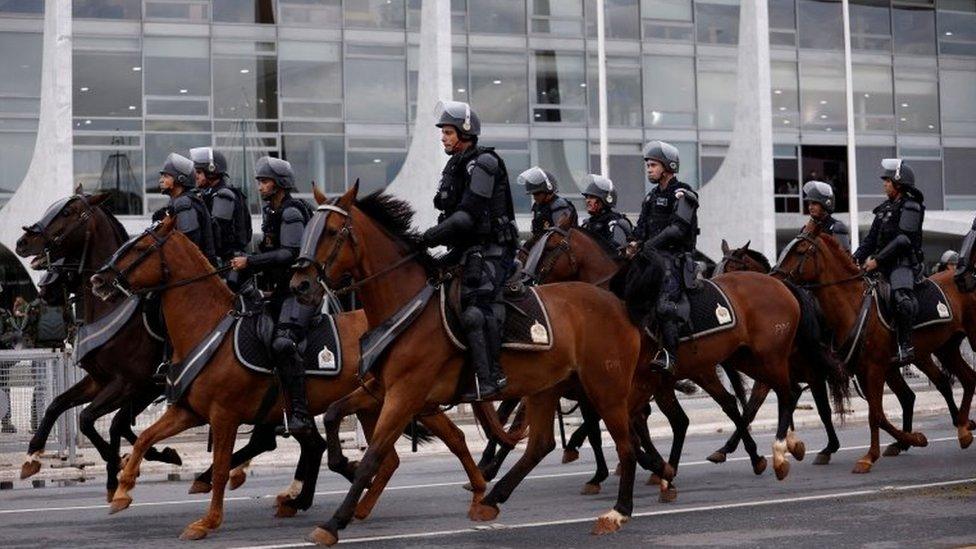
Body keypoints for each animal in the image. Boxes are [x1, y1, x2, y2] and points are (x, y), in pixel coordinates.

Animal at [15, 193, 182, 500]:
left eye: (67, 211)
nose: (22, 242)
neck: (110, 305)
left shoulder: (129, 384)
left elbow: (87, 418)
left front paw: (117, 463)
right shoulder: (99, 381)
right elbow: (57, 405)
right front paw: (32, 455)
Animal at [88, 214, 488, 540]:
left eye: (139, 247)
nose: (98, 279)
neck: (208, 326)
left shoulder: (224, 416)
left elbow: (220, 468)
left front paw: (207, 521)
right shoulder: (189, 412)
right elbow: (144, 439)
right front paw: (122, 490)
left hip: (411, 399)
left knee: (452, 439)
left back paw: (478, 491)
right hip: (376, 406)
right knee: (389, 458)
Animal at [290, 184, 660, 544]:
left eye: (333, 231)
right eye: (309, 229)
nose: (300, 285)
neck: (408, 304)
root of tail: (617, 303)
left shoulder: (406, 394)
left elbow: (375, 455)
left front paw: (335, 520)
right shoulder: (382, 388)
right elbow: (335, 414)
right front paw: (342, 465)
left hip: (605, 388)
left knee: (625, 444)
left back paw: (619, 510)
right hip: (546, 388)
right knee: (541, 444)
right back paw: (492, 499)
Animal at [772, 218, 972, 470]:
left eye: (799, 251)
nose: (773, 279)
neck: (852, 304)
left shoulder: (870, 369)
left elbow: (871, 414)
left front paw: (868, 456)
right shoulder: (860, 370)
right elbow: (877, 414)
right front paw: (914, 438)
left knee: (943, 384)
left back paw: (960, 426)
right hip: (943, 349)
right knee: (957, 382)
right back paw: (961, 429)